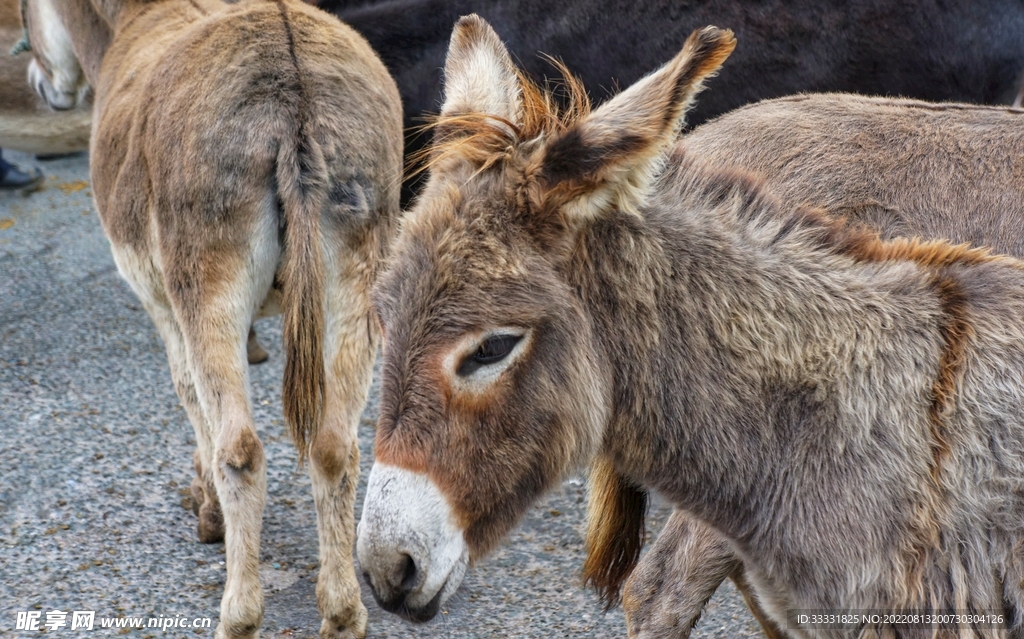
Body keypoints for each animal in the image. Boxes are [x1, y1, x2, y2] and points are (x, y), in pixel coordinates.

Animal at [21, 0, 402, 636]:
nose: (40, 86)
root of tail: (294, 97)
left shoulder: (165, 306)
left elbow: (188, 396)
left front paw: (208, 513)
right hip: (356, 280)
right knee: (333, 449)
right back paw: (344, 612)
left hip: (210, 285)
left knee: (240, 451)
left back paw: (239, 614)